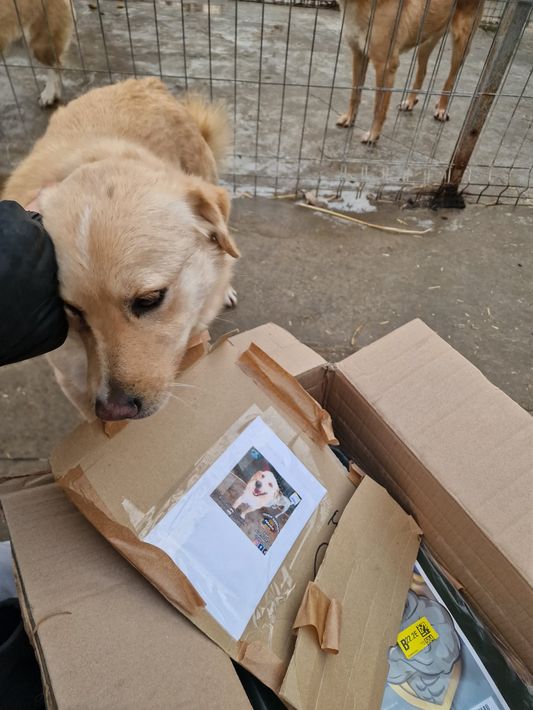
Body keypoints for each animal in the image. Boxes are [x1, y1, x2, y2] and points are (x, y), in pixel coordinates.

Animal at [336, 0, 484, 143]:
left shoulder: (385, 66)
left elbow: (379, 107)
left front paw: (374, 134)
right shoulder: (359, 54)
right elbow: (355, 93)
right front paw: (349, 118)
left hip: (462, 44)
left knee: (451, 78)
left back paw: (442, 108)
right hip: (426, 41)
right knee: (422, 72)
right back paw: (410, 101)